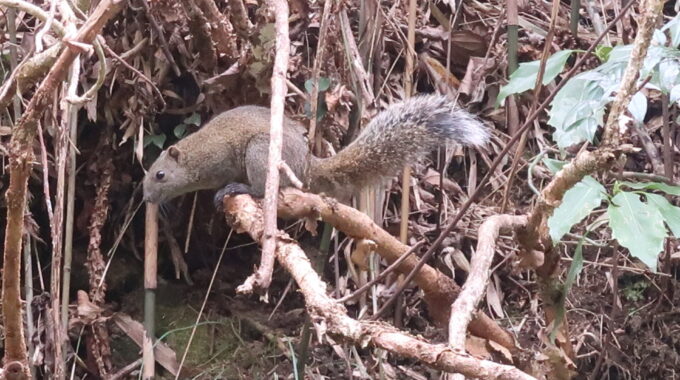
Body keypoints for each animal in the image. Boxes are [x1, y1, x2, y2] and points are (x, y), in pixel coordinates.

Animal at [143, 95, 492, 206]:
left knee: (265, 188)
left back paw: (240, 188)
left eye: (160, 175)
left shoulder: (220, 158)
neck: (195, 153)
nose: (146, 199)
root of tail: (306, 166)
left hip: (259, 152)